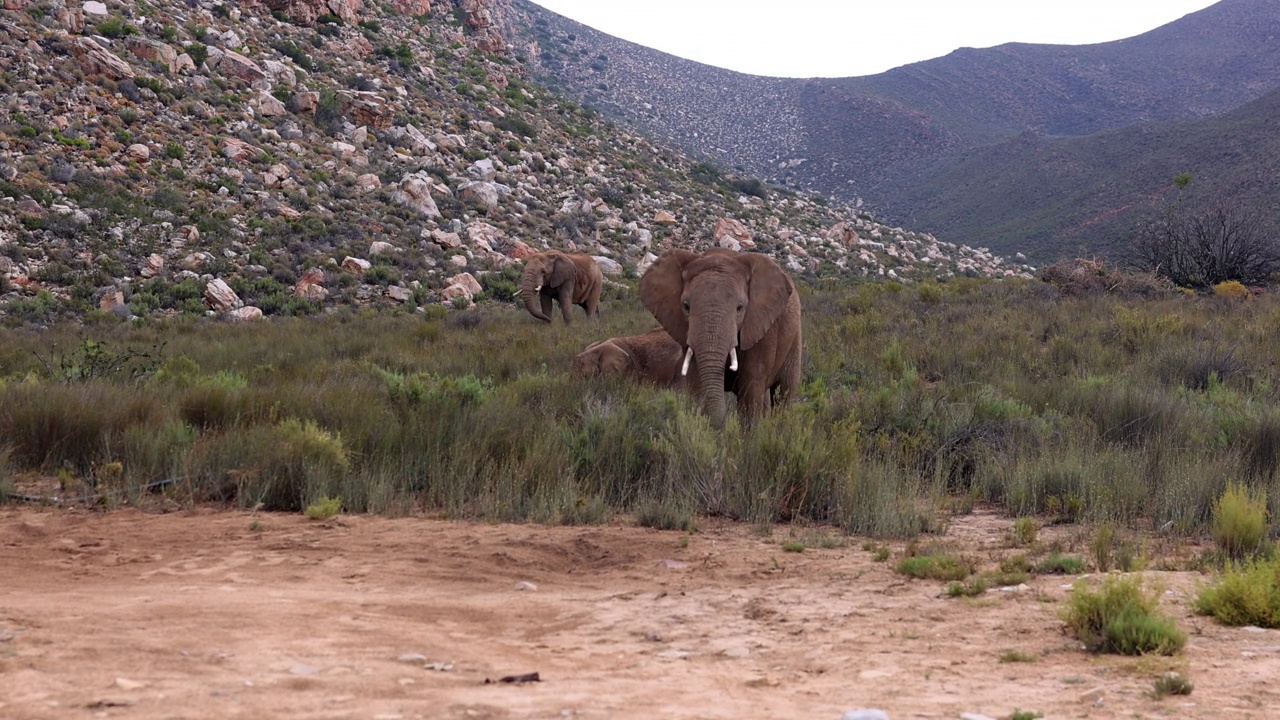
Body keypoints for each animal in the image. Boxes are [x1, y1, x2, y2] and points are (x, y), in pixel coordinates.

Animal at [640, 245, 798, 425]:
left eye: (740, 308)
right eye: (686, 306)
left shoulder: (763, 328)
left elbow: (751, 388)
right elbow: (693, 382)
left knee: (784, 393)